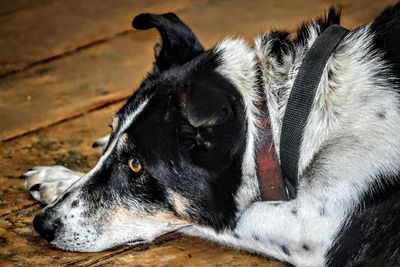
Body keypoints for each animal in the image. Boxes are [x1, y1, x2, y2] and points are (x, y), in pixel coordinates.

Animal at [21, 4, 400, 267]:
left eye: (136, 165)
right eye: (114, 135)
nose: (43, 224)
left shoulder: (318, 229)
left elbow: (222, 218)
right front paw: (60, 178)